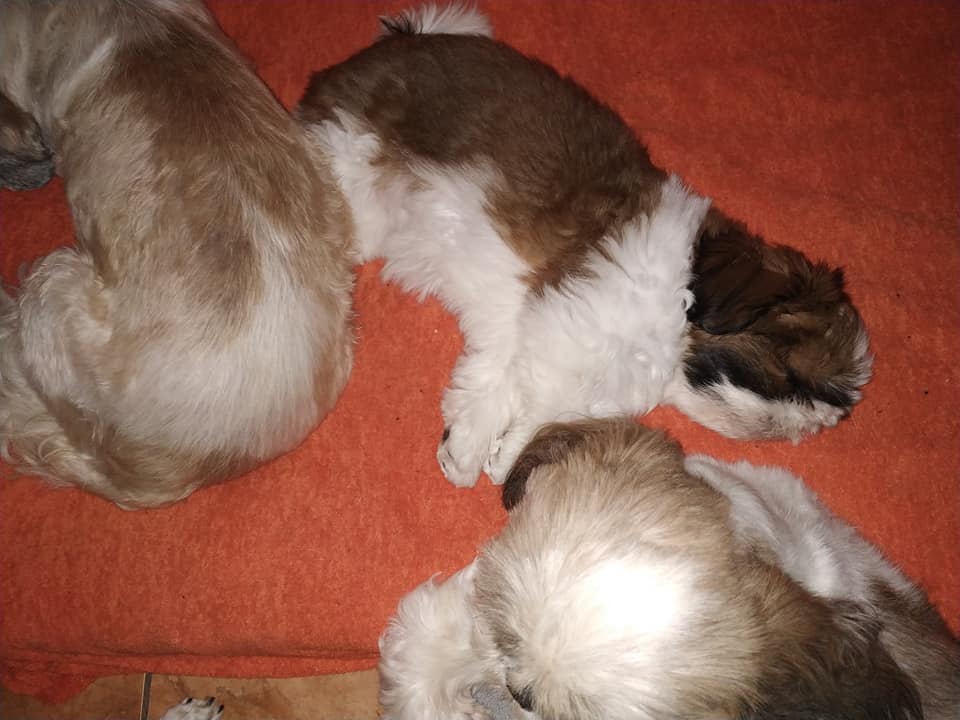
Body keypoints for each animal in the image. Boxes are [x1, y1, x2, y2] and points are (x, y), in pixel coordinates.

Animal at [295, 4, 873, 489]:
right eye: (792, 377)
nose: (804, 422)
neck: (683, 295)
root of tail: (405, 39)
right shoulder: (574, 316)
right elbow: (543, 387)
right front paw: (502, 449)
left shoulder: (532, 325)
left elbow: (509, 377)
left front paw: (477, 444)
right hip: (347, 157)